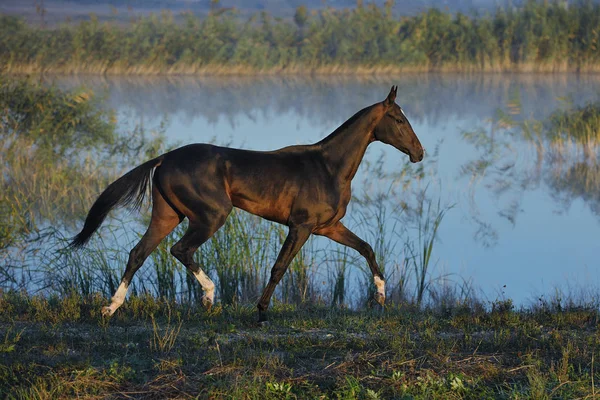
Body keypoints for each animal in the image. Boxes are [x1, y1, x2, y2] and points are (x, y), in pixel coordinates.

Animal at [70, 86, 424, 322]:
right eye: (398, 119)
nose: (419, 153)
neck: (328, 167)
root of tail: (165, 158)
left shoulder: (328, 227)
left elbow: (366, 248)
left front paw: (381, 296)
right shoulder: (301, 226)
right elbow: (279, 267)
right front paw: (261, 311)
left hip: (168, 215)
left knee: (139, 253)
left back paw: (111, 307)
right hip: (212, 215)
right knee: (180, 250)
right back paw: (209, 296)